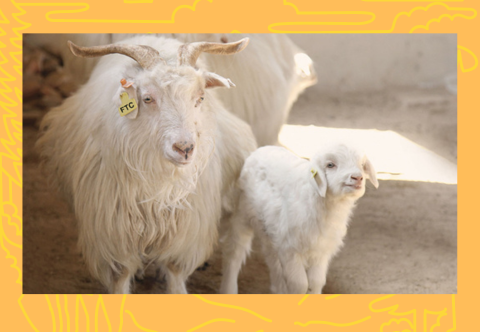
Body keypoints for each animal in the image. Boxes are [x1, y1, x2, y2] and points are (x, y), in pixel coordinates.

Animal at [36, 35, 258, 294]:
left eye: (200, 98)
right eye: (148, 98)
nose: (184, 148)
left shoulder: (185, 230)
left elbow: (175, 274)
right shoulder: (112, 232)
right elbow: (121, 277)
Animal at [220, 143, 378, 294]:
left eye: (362, 164)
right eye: (330, 165)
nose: (357, 178)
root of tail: (262, 149)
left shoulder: (320, 251)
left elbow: (315, 283)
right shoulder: (290, 249)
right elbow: (300, 285)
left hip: (270, 230)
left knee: (271, 258)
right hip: (242, 213)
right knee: (234, 253)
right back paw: (229, 290)